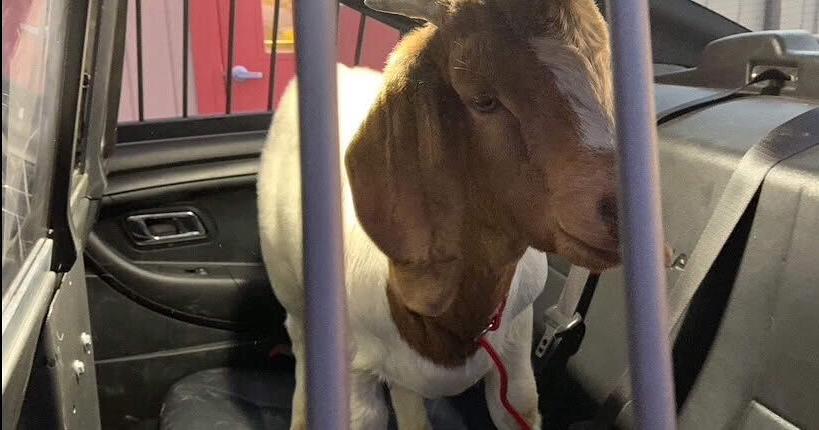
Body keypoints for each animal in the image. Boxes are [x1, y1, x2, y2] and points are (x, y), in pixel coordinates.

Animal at [258, 0, 618, 428]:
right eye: (483, 99)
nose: (619, 211)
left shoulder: (516, 348)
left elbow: (517, 403)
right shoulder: (354, 370)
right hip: (288, 284)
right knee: (298, 339)